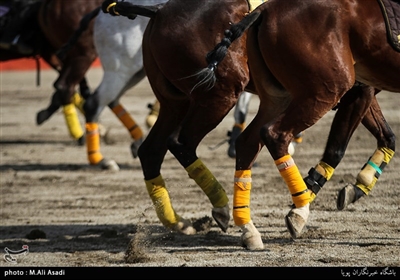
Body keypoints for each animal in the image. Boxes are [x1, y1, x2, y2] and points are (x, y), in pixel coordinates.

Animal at [200, 0, 400, 248]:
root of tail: (264, 9)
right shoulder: (358, 89)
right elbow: (337, 149)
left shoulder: (365, 87)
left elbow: (387, 138)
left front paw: (358, 185)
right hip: (326, 89)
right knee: (275, 134)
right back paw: (300, 211)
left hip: (278, 97)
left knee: (247, 143)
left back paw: (249, 228)